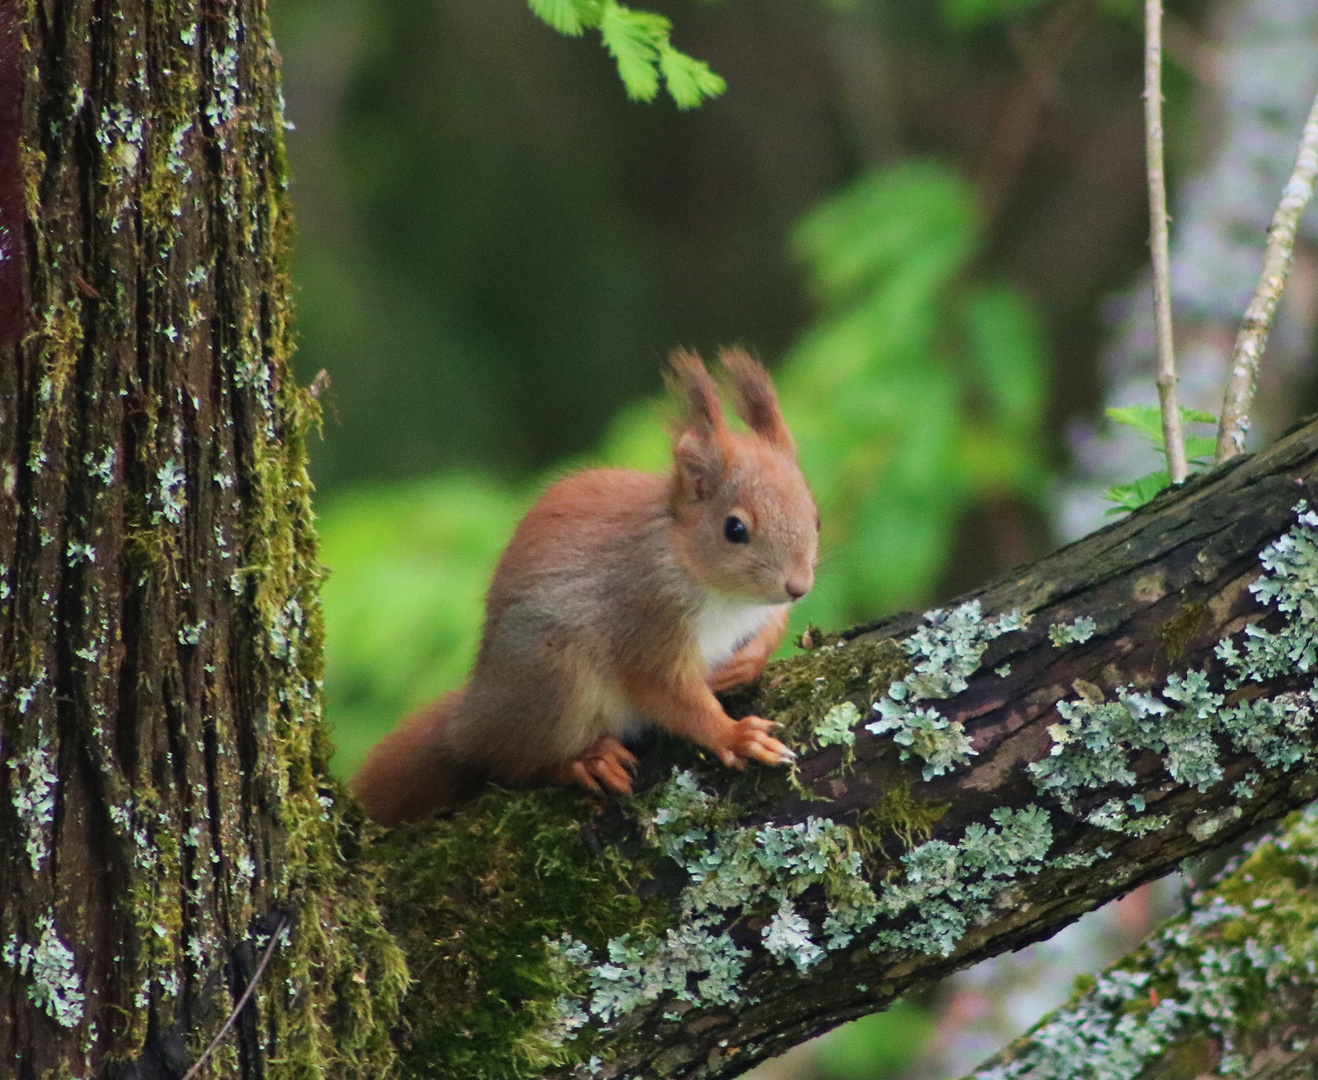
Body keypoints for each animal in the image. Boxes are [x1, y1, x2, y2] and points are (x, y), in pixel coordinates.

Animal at [355, 350, 817, 822]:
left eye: (814, 516)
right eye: (734, 529)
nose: (799, 586)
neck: (726, 595)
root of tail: (470, 718)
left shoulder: (764, 608)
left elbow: (773, 625)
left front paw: (749, 661)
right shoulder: (645, 616)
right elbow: (669, 693)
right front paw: (736, 736)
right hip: (555, 677)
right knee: (510, 761)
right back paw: (584, 761)